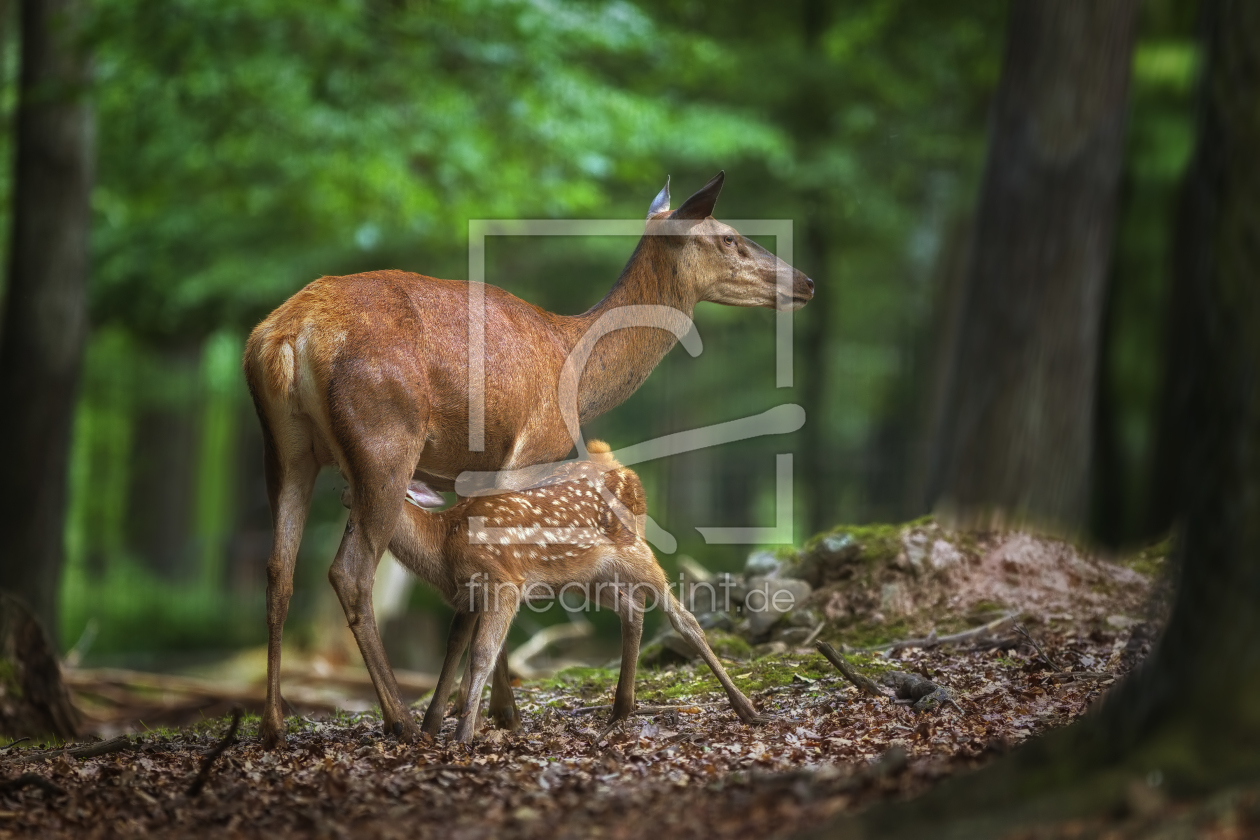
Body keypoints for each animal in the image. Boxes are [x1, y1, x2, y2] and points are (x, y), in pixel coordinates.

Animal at [243, 172, 816, 750]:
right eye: (729, 237)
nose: (807, 281)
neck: (580, 377)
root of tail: (286, 336)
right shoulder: (532, 447)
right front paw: (498, 713)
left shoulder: (467, 474)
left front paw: (469, 711)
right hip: (385, 442)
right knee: (350, 572)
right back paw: (398, 719)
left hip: (284, 449)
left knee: (277, 570)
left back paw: (273, 723)